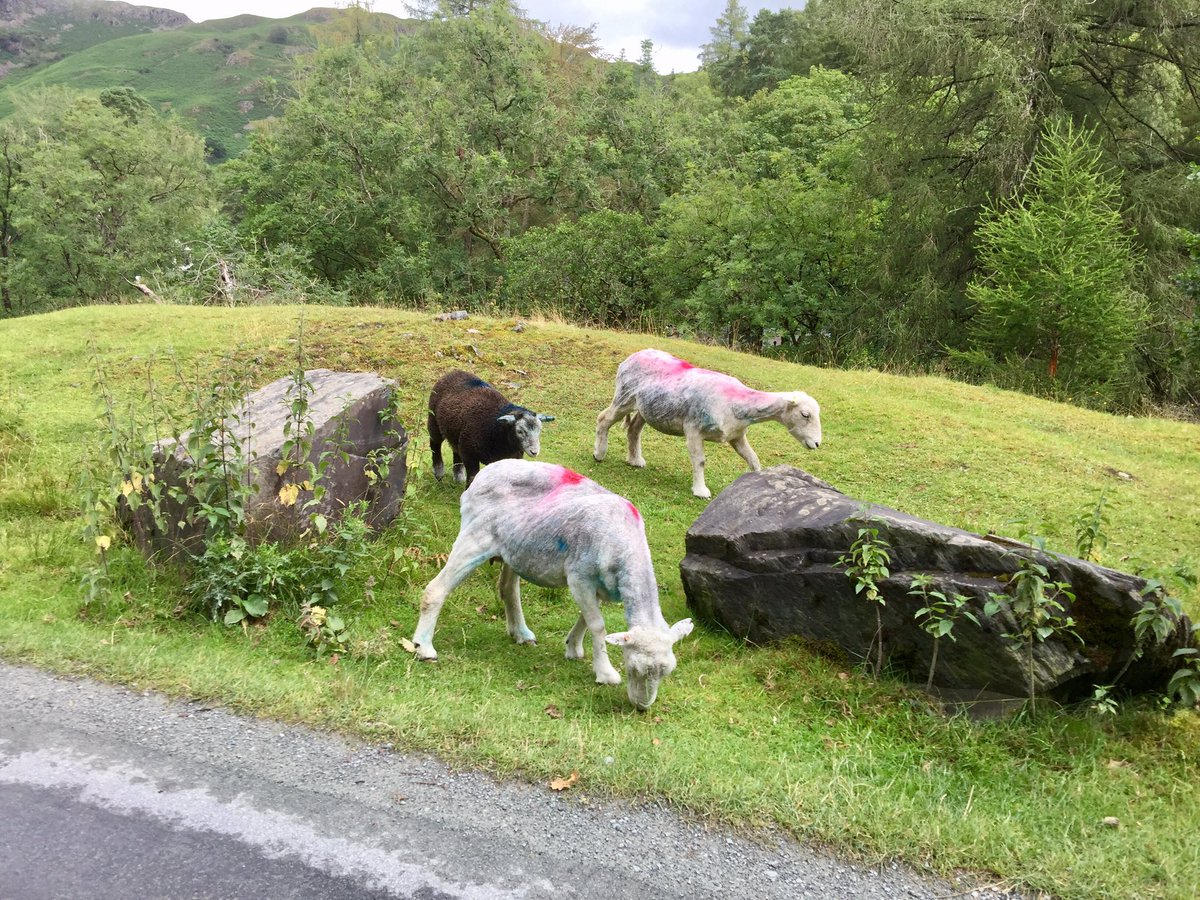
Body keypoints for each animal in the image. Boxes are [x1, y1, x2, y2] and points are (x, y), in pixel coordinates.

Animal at [411, 458, 693, 710]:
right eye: (633, 667)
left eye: (666, 672)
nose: (642, 706)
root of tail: (483, 474)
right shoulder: (579, 577)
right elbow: (598, 625)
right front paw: (605, 673)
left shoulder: (598, 586)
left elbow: (586, 619)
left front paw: (573, 647)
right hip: (475, 537)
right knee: (436, 589)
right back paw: (423, 648)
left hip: (515, 550)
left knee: (507, 589)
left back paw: (521, 633)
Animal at [594, 348, 822, 499]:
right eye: (805, 414)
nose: (817, 443)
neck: (736, 404)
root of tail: (632, 356)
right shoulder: (693, 429)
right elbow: (700, 461)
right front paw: (701, 491)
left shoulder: (737, 435)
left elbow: (753, 459)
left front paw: (758, 482)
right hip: (624, 397)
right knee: (603, 418)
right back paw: (599, 454)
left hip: (646, 408)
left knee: (633, 429)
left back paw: (635, 460)